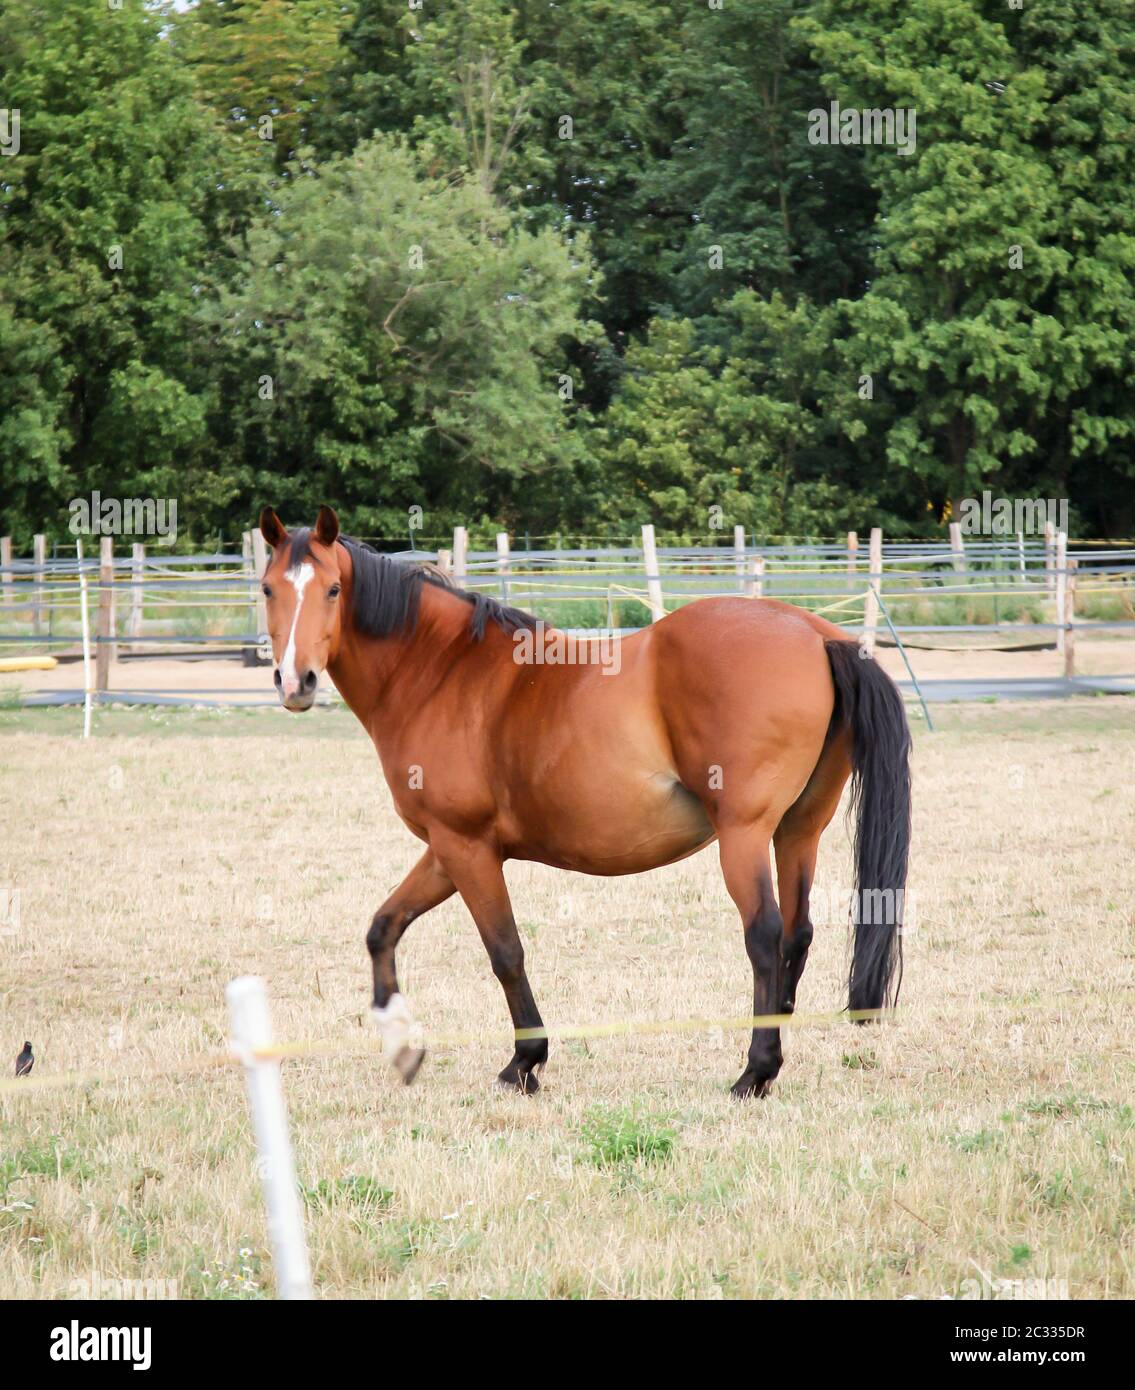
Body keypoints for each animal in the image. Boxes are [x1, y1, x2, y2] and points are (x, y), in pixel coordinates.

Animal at [258, 505, 911, 1100]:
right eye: (267, 588)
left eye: (333, 589)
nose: (296, 682)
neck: (442, 672)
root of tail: (818, 635)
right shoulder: (446, 852)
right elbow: (383, 928)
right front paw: (404, 1050)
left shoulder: (466, 847)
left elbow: (505, 951)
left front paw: (524, 1062)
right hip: (798, 830)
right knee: (797, 933)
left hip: (744, 834)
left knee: (766, 934)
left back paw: (755, 1070)